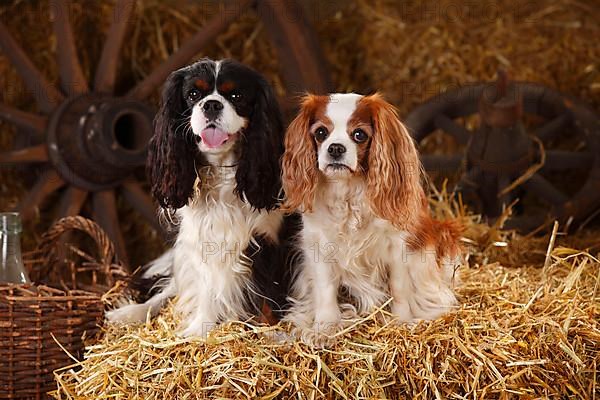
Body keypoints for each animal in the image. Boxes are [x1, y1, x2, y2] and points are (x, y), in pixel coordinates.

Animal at [107, 57, 298, 336]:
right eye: (193, 94)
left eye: (236, 96)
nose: (211, 104)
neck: (221, 170)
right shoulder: (202, 241)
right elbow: (207, 289)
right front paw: (198, 330)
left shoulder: (268, 241)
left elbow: (267, 296)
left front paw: (271, 330)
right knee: (167, 290)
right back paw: (129, 313)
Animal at [284, 94, 462, 344]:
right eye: (320, 132)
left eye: (359, 134)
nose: (335, 148)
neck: (348, 193)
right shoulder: (318, 245)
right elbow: (325, 288)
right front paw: (325, 328)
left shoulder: (398, 246)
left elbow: (399, 287)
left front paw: (400, 322)